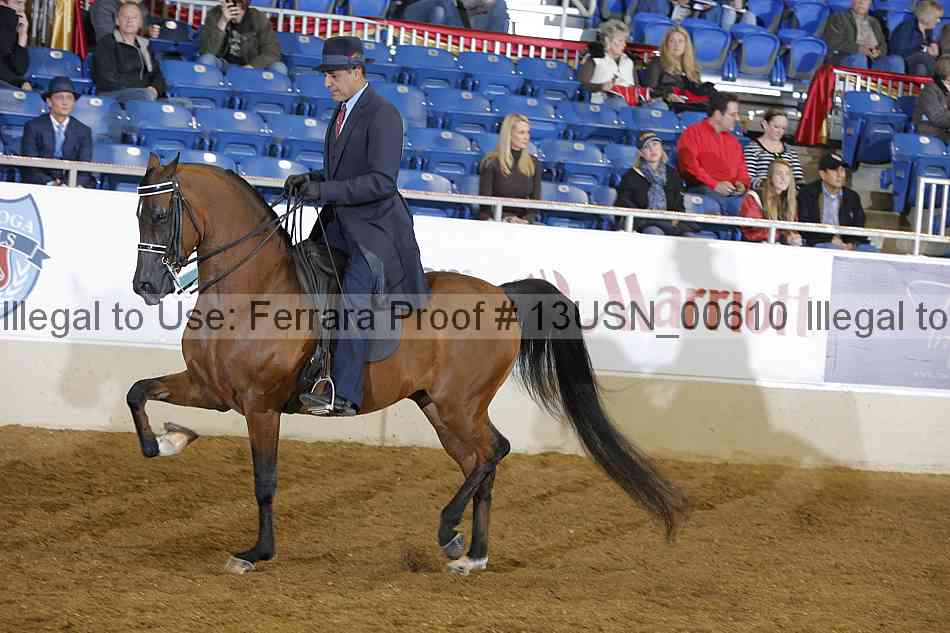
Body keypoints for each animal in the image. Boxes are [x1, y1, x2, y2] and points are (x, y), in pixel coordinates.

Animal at [128, 153, 689, 575]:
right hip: (442, 410)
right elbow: (139, 393)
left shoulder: (261, 406)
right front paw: (172, 440)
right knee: (483, 461)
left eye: (160, 214)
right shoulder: (210, 389)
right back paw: (471, 555)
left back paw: (449, 533)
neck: (253, 292)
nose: (146, 285)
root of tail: (504, 295)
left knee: (493, 453)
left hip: (458, 405)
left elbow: (264, 481)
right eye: (137, 214)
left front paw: (256, 553)